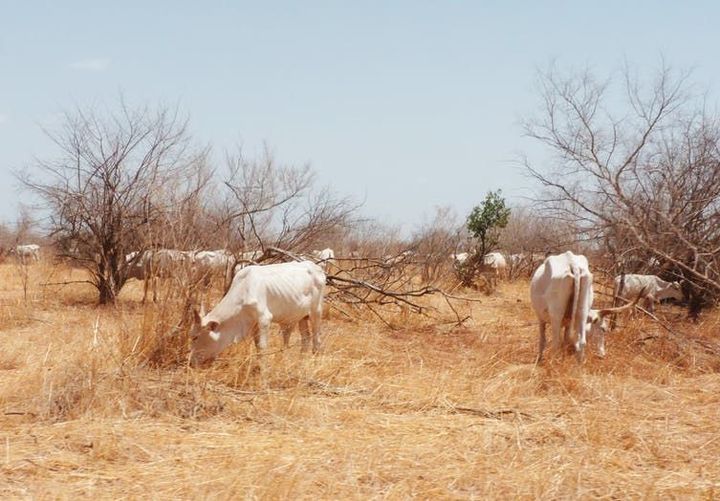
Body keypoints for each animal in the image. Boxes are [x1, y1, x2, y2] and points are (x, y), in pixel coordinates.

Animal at [191, 262, 326, 364]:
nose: (191, 362)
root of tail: (316, 267)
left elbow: (262, 346)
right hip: (302, 316)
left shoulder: (264, 319)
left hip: (316, 312)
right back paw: (300, 361)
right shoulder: (254, 324)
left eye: (195, 337)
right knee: (306, 338)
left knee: (316, 339)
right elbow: (257, 345)